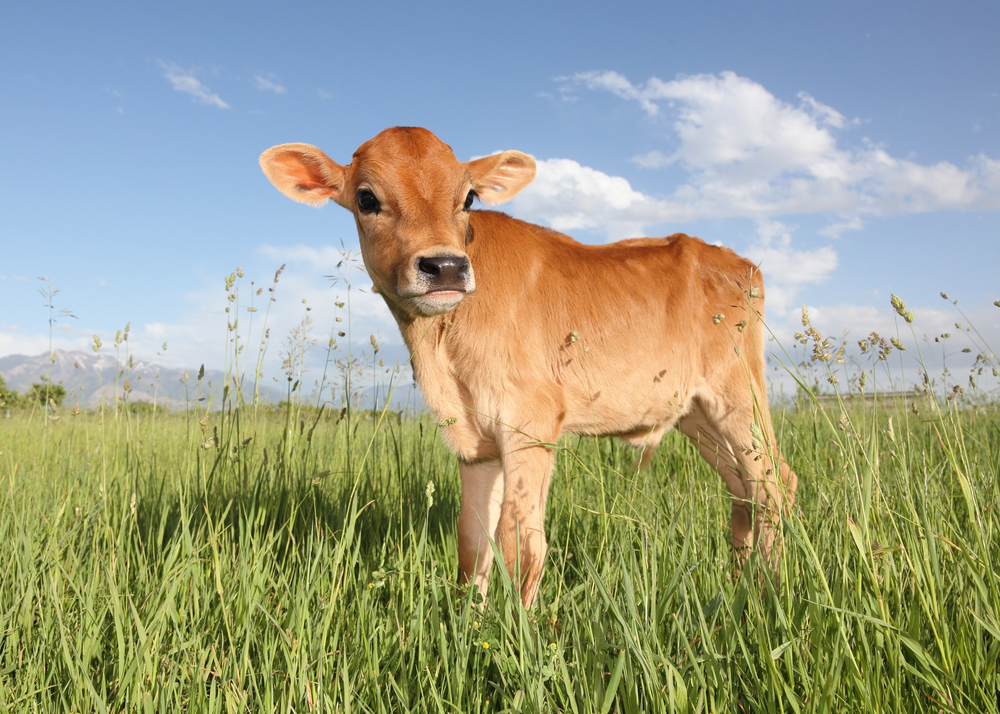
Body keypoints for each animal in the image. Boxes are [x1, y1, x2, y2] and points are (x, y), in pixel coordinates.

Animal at [258, 125, 796, 604]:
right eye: (367, 198)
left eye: (468, 197)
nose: (445, 267)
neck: (441, 352)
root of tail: (733, 261)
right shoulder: (474, 441)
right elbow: (473, 544)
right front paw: (469, 628)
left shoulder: (531, 423)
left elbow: (521, 544)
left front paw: (518, 641)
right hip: (696, 413)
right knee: (743, 492)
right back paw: (738, 585)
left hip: (739, 395)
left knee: (775, 487)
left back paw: (771, 589)